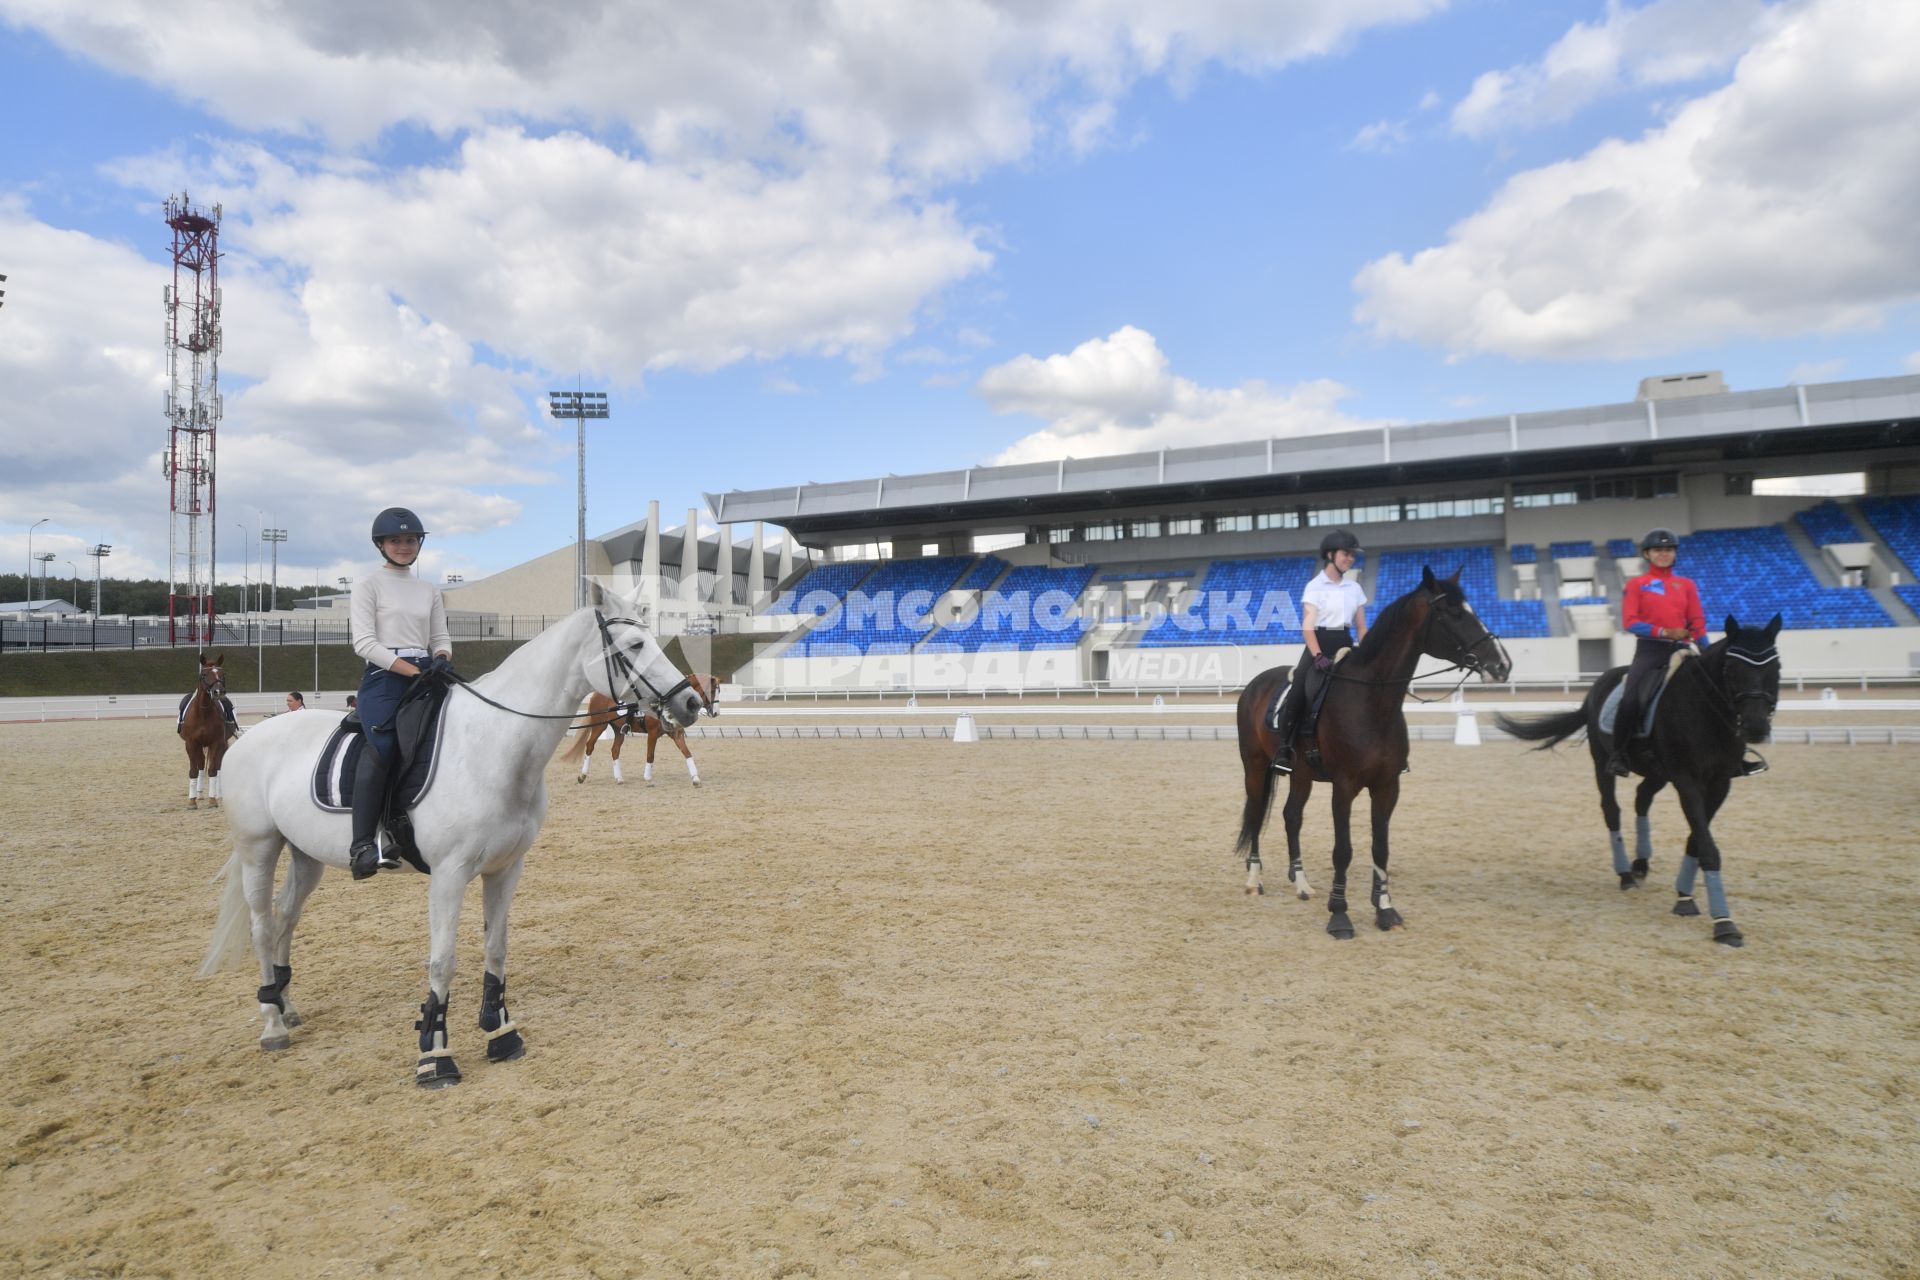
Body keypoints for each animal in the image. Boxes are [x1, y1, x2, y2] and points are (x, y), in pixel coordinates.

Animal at [180, 652, 236, 809]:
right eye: (204, 674)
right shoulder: (191, 744)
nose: (218, 691)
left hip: (222, 744)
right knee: (200, 765)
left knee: (217, 766)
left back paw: (219, 795)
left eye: (222, 674)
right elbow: (194, 771)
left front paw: (212, 800)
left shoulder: (216, 743)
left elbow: (212, 770)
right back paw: (198, 794)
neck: (203, 712)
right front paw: (192, 801)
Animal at [198, 606, 706, 1090]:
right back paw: (272, 1025)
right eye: (635, 644)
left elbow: (496, 948)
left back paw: (286, 1006)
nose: (691, 701)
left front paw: (501, 1033)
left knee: (285, 918)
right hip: (259, 849)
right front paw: (435, 1056)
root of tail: (249, 739)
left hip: (305, 857)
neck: (495, 744)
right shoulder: (449, 874)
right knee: (263, 927)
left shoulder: (506, 868)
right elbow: (442, 962)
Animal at [568, 675, 725, 786]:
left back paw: (619, 778)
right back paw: (582, 776)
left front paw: (695, 778)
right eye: (712, 691)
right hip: (599, 726)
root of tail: (596, 694)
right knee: (590, 746)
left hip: (618, 729)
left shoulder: (676, 734)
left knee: (615, 750)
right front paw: (648, 778)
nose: (716, 713)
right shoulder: (653, 733)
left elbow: (687, 753)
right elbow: (650, 755)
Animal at [1228, 571, 1512, 940]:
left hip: (1302, 775)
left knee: (1291, 817)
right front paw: (1339, 916)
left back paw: (1301, 884)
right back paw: (1254, 880)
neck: (1370, 700)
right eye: (1453, 614)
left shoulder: (1387, 786)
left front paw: (1386, 910)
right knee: (1256, 813)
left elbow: (1381, 847)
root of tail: (1255, 685)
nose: (1502, 665)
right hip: (1255, 767)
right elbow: (1343, 851)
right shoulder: (1344, 787)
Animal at [1497, 614, 1781, 948]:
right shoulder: (1686, 780)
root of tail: (1600, 684)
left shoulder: (1720, 783)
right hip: (1603, 764)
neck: (1705, 711)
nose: (1756, 728)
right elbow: (1707, 846)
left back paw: (1641, 863)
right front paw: (1724, 924)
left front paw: (1684, 897)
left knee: (1642, 799)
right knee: (1612, 810)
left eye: (1775, 667)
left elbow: (1697, 839)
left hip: (1658, 773)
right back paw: (1625, 874)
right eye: (1732, 669)